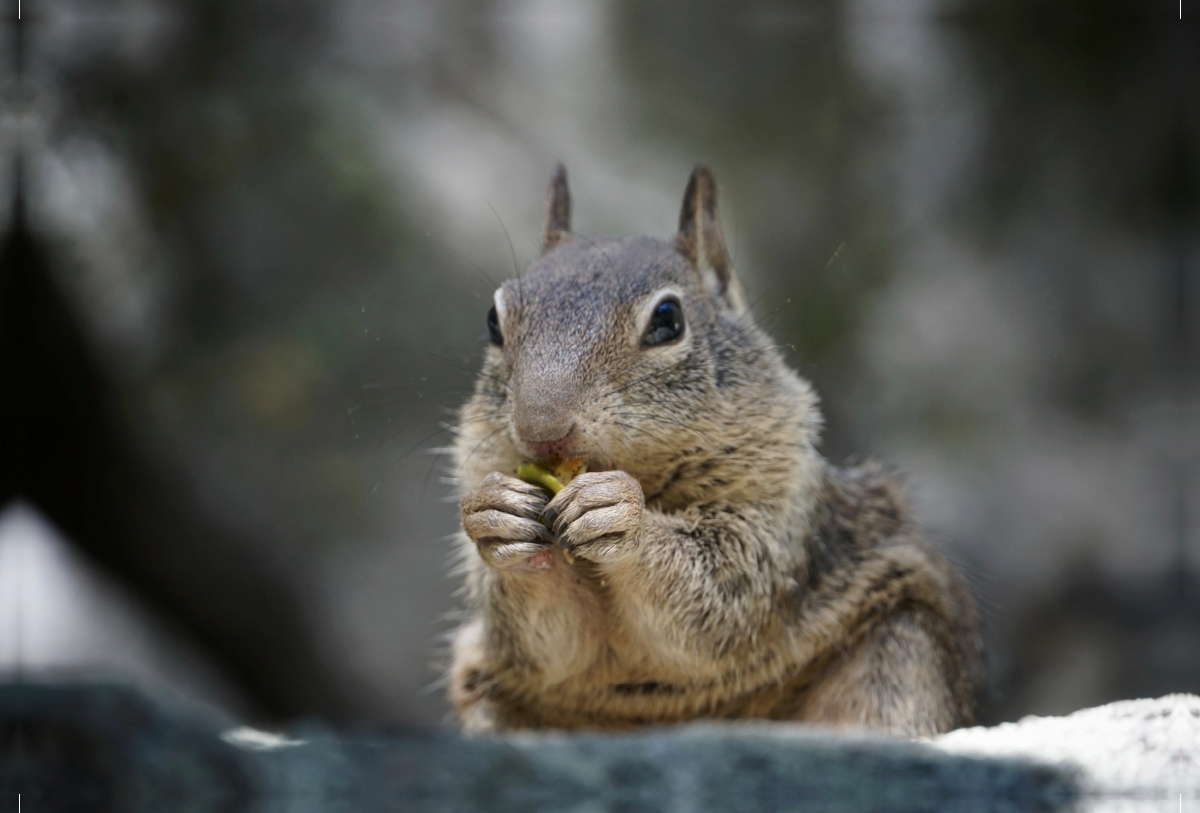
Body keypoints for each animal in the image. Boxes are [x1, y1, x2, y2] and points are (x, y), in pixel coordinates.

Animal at [446, 165, 979, 738]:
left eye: (667, 319)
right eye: (493, 320)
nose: (542, 428)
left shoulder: (775, 510)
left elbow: (720, 591)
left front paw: (621, 512)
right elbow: (543, 641)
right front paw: (493, 513)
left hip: (898, 654)